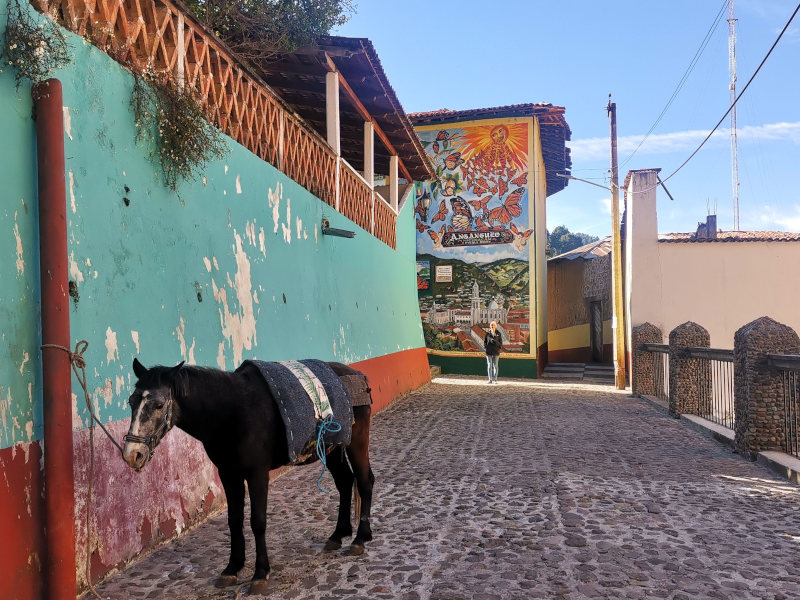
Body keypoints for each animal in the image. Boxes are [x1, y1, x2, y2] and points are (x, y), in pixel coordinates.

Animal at [121, 358, 376, 592]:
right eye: (132, 401)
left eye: (159, 405)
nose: (132, 454)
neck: (233, 412)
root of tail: (358, 375)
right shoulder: (228, 474)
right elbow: (234, 520)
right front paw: (232, 568)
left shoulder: (257, 474)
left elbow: (258, 521)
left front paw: (260, 573)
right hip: (332, 447)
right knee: (345, 482)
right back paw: (338, 534)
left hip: (357, 442)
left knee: (364, 481)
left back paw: (360, 538)